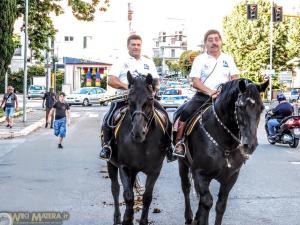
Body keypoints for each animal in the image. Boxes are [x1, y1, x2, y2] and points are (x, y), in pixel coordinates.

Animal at [107, 72, 169, 225]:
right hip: (111, 163)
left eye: (151, 99)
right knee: (115, 189)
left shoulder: (155, 170)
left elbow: (147, 196)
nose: (138, 132)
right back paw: (118, 217)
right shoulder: (124, 166)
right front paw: (126, 219)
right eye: (129, 99)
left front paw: (142, 220)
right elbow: (128, 195)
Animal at [175, 78, 268, 225]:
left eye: (262, 108)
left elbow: (220, 205)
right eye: (240, 107)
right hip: (182, 163)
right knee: (186, 188)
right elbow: (207, 202)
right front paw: (200, 218)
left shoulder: (231, 177)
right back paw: (189, 216)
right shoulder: (200, 173)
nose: (250, 144)